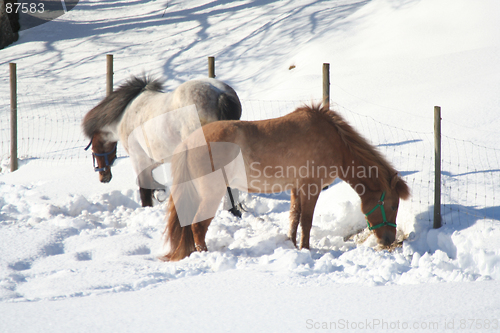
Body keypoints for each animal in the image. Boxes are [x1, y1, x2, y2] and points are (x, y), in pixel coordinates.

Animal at [82, 75, 242, 214]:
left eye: (94, 149)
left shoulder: (139, 159)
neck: (125, 116)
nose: (103, 177)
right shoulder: (155, 159)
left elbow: (144, 189)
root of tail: (220, 95)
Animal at [161, 104, 410, 260]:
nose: (389, 240)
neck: (335, 142)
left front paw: (291, 245)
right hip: (212, 193)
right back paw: (204, 254)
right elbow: (306, 222)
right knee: (197, 226)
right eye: (393, 205)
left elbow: (294, 218)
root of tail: (188, 142)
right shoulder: (311, 188)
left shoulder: (296, 188)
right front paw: (306, 249)